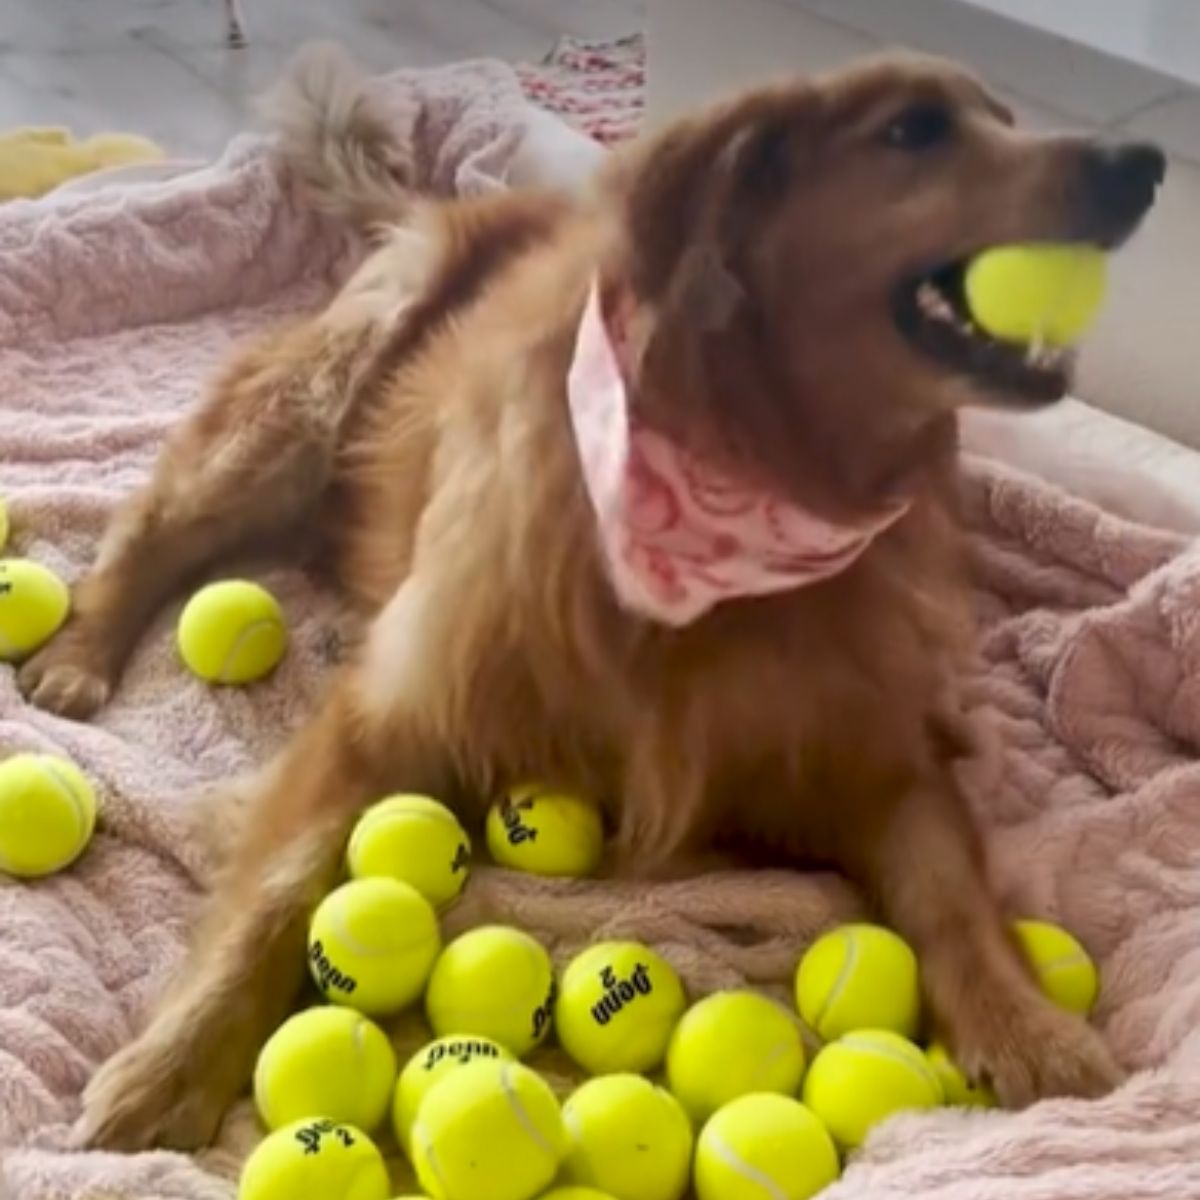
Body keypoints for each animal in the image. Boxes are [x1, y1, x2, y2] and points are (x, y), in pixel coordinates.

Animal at [18, 46, 1161, 1147]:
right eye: (914, 129)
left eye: (1003, 118)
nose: (1144, 162)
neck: (753, 459)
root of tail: (464, 205)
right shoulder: (387, 715)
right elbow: (280, 888)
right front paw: (175, 1064)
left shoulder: (874, 751)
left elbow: (951, 893)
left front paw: (1027, 1028)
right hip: (308, 404)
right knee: (152, 524)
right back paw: (79, 656)